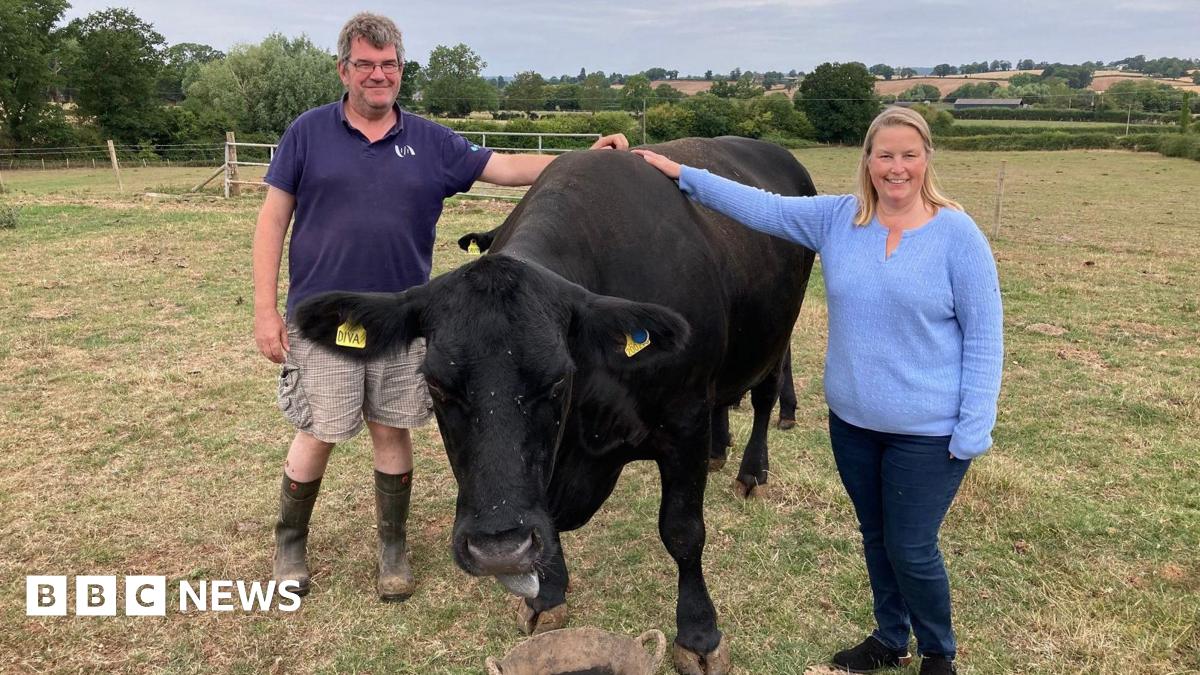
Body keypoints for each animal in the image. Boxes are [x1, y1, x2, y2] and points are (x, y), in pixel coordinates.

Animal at [294, 137, 817, 674]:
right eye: (435, 383)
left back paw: (752, 470)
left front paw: (699, 635)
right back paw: (720, 450)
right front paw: (547, 598)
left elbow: (683, 530)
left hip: (778, 336)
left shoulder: (684, 419)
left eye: (558, 379)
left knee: (764, 397)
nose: (499, 549)